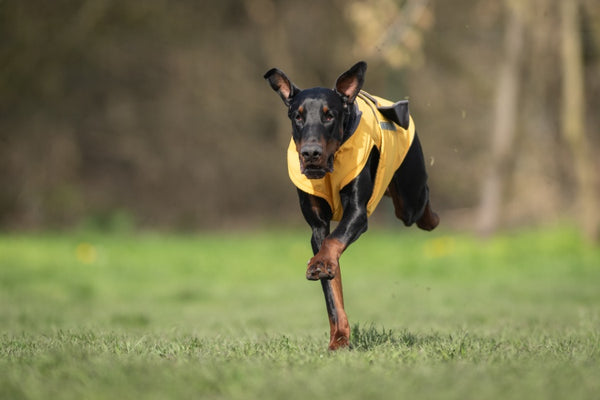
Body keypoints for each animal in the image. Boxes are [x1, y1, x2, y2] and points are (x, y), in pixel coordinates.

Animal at [264, 60, 438, 350]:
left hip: (410, 194)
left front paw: (320, 263)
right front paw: (339, 339)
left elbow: (335, 241)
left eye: (329, 115)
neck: (332, 164)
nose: (310, 153)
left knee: (417, 203)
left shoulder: (356, 213)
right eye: (297, 116)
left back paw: (431, 217)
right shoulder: (317, 227)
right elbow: (332, 291)